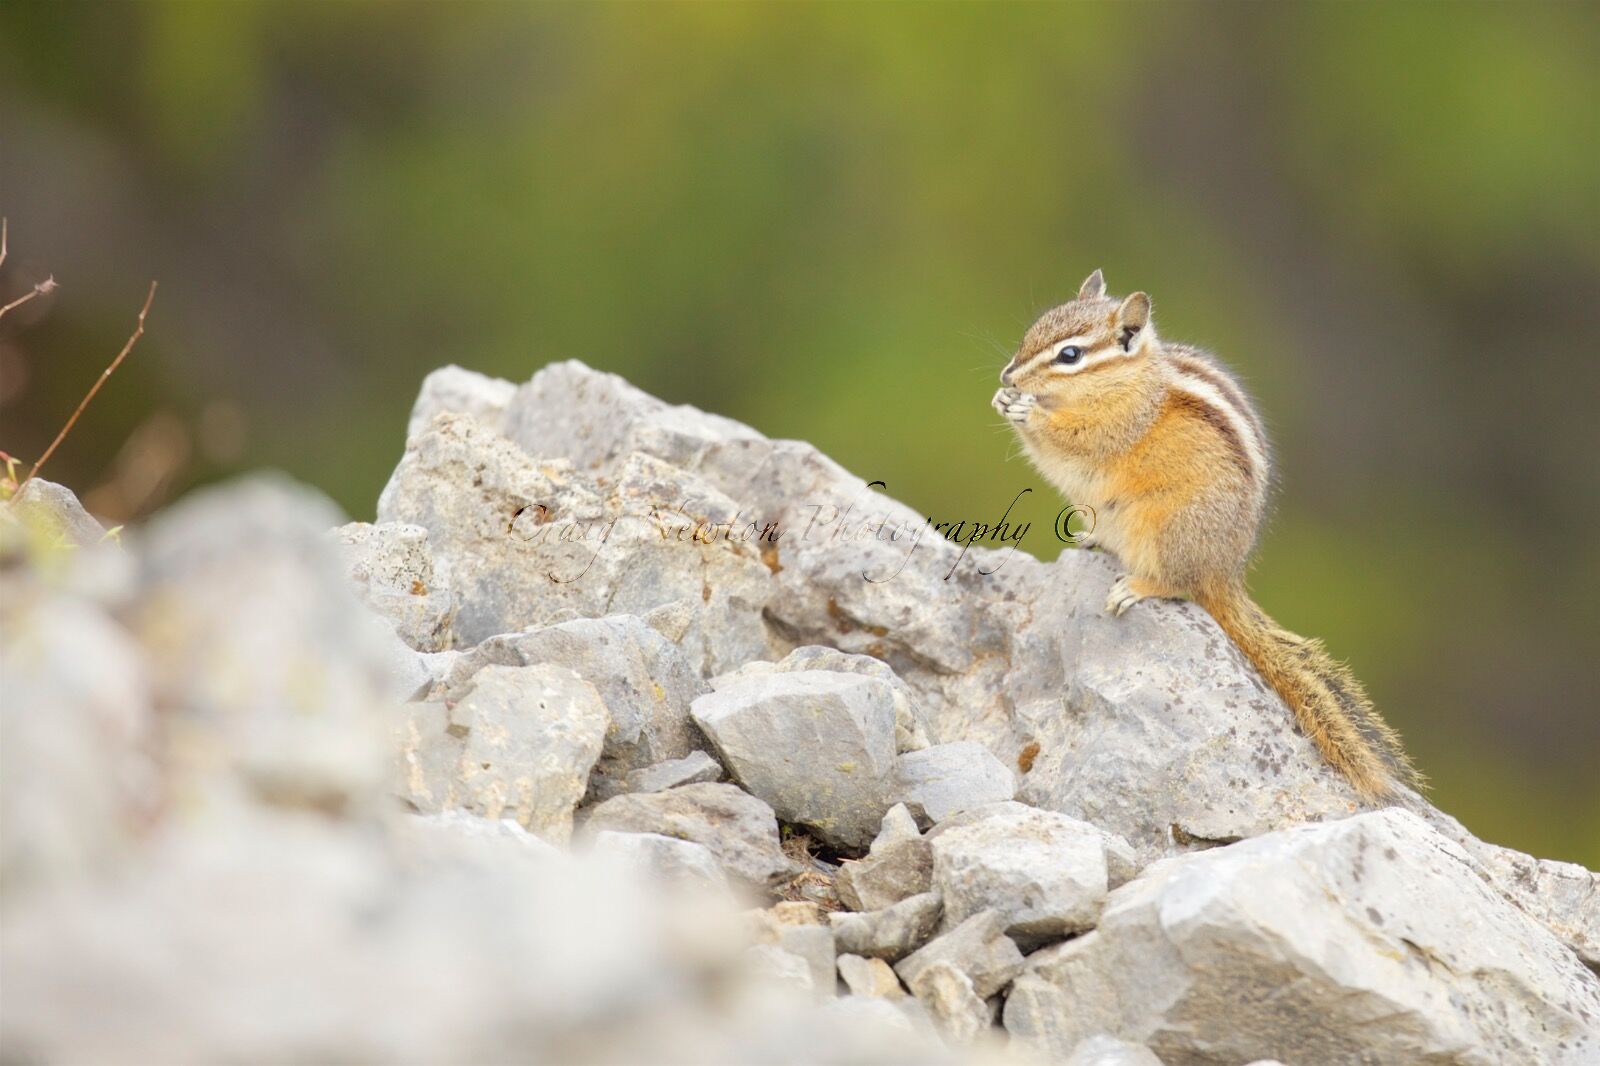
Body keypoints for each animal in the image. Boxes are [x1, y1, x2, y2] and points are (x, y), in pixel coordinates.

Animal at [992, 269, 1421, 801]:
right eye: (1033, 331)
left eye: (1070, 355)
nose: (1008, 376)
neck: (1132, 380)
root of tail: (1224, 573)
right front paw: (1004, 400)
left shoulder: (1118, 423)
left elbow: (1077, 438)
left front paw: (1029, 411)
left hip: (1167, 532)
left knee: (1178, 585)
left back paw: (1137, 586)